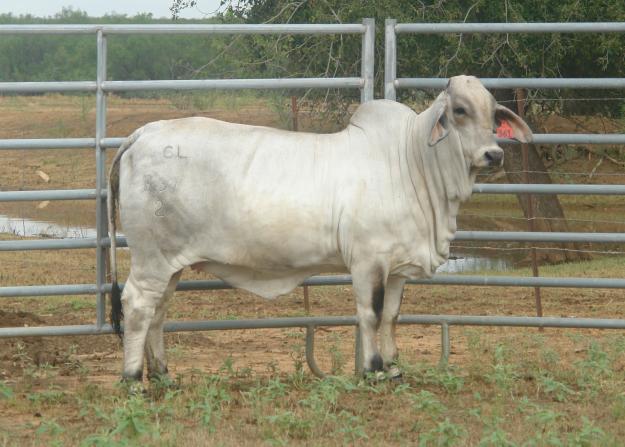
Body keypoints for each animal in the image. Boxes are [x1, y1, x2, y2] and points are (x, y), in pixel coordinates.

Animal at [107, 75, 532, 383]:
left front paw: (395, 368)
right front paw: (373, 370)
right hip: (150, 258)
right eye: (459, 110)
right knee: (138, 306)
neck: (411, 162)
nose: (494, 155)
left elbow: (392, 316)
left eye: (494, 114)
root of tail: (144, 133)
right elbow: (371, 313)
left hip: (170, 264)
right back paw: (133, 378)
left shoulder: (397, 266)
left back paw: (163, 375)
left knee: (159, 311)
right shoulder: (368, 262)